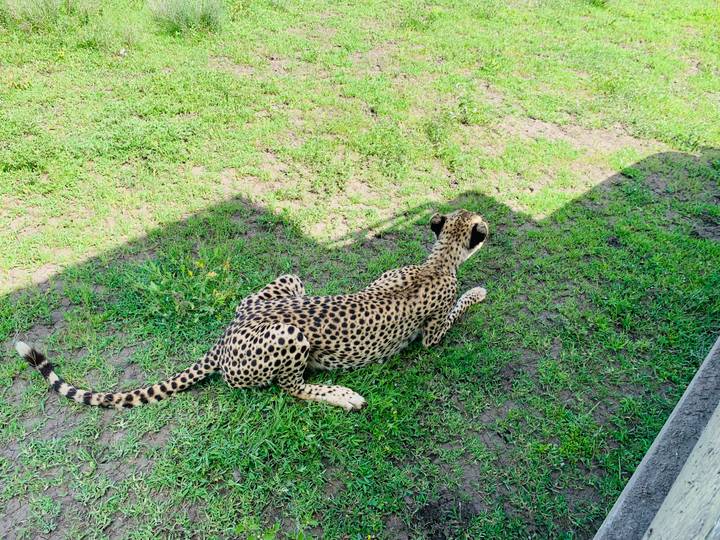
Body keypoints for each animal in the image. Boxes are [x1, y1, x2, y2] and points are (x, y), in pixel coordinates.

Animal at [16, 209, 489, 411]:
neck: (439, 259)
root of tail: (225, 337)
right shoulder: (432, 333)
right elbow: (457, 308)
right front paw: (480, 290)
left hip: (288, 284)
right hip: (290, 337)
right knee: (291, 388)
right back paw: (344, 396)